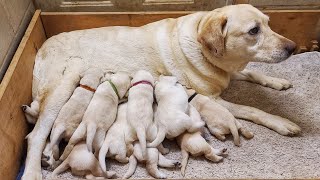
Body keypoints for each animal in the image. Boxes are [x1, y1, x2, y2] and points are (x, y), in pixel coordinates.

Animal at [23, 3, 302, 179]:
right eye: (254, 31)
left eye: (268, 24)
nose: (293, 47)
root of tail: (41, 48)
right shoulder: (214, 98)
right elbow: (253, 109)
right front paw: (281, 122)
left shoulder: (228, 71)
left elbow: (252, 73)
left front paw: (277, 82)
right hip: (63, 87)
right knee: (36, 136)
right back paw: (34, 171)